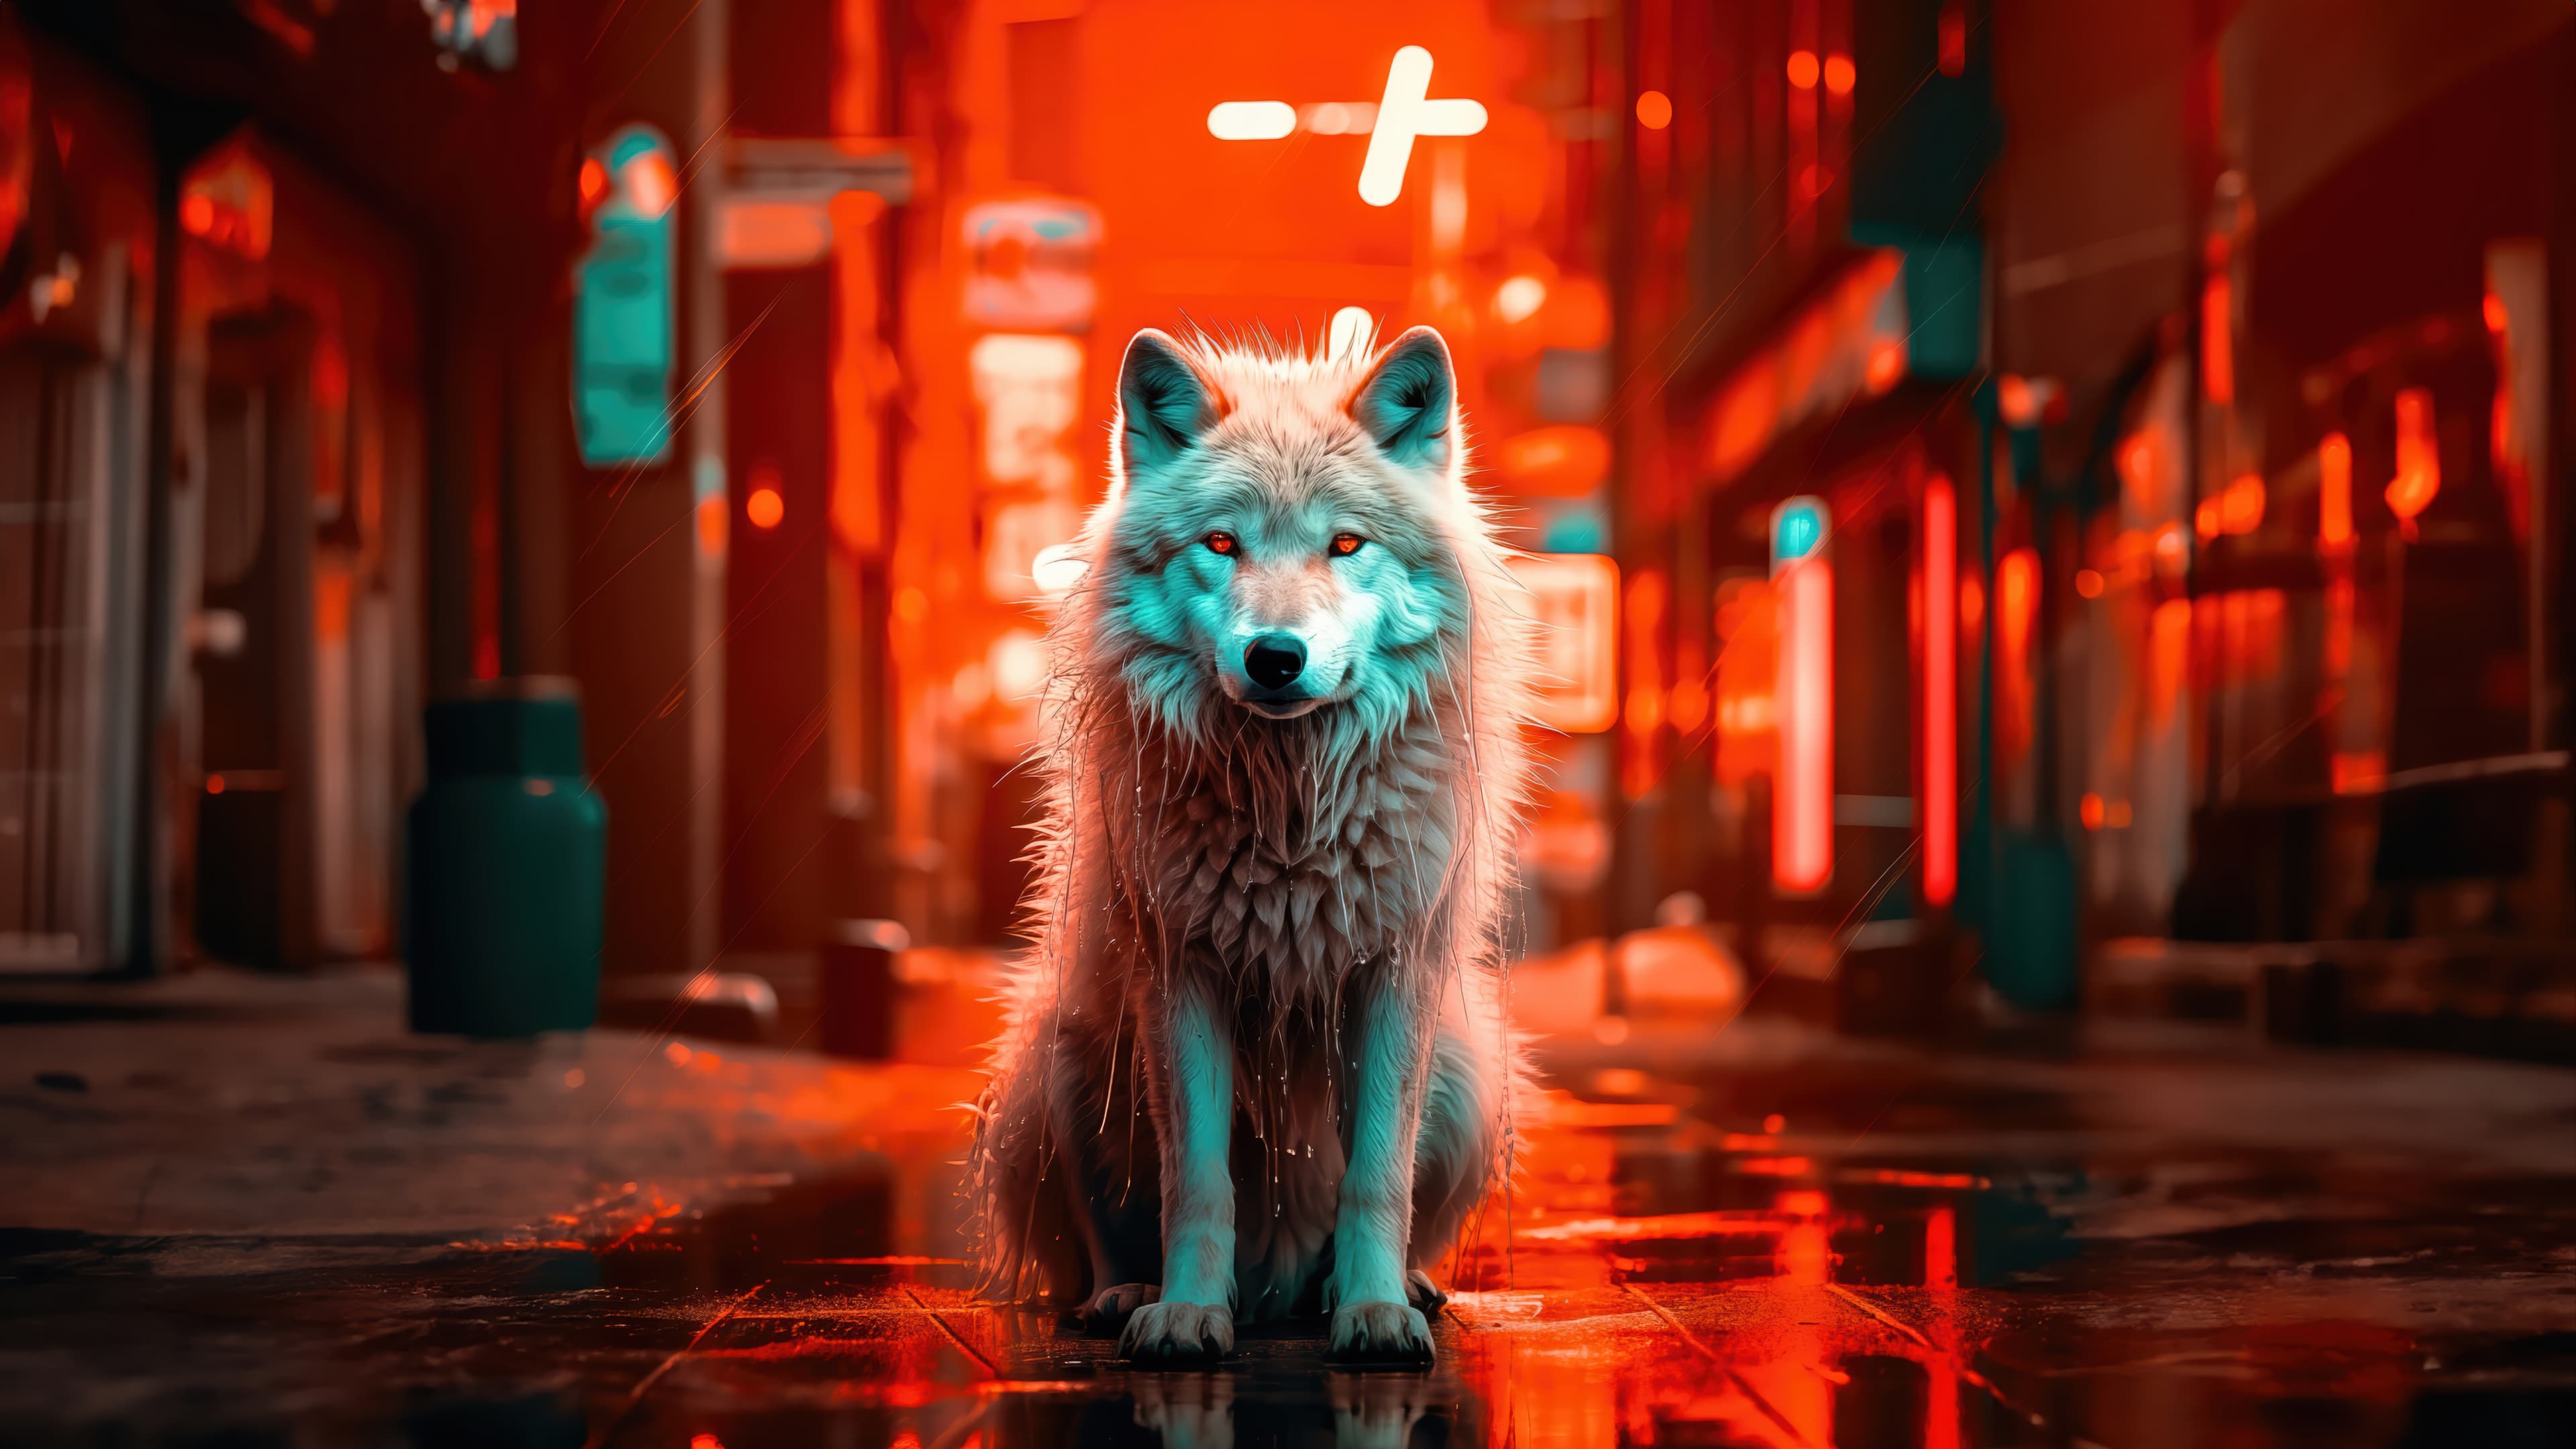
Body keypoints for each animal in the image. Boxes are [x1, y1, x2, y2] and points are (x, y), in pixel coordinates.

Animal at [965, 324, 1532, 1366]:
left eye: (1345, 543)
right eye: (1221, 543)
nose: (1276, 656)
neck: (1291, 817)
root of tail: (1277, 1283)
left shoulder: (1392, 975)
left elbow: (1376, 1177)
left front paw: (1373, 1311)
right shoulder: (1182, 975)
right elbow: (1196, 1181)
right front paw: (1189, 1313)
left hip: (1471, 1075)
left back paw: (1389, 1288)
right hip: (1063, 1061)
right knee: (1102, 1239)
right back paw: (1127, 1295)